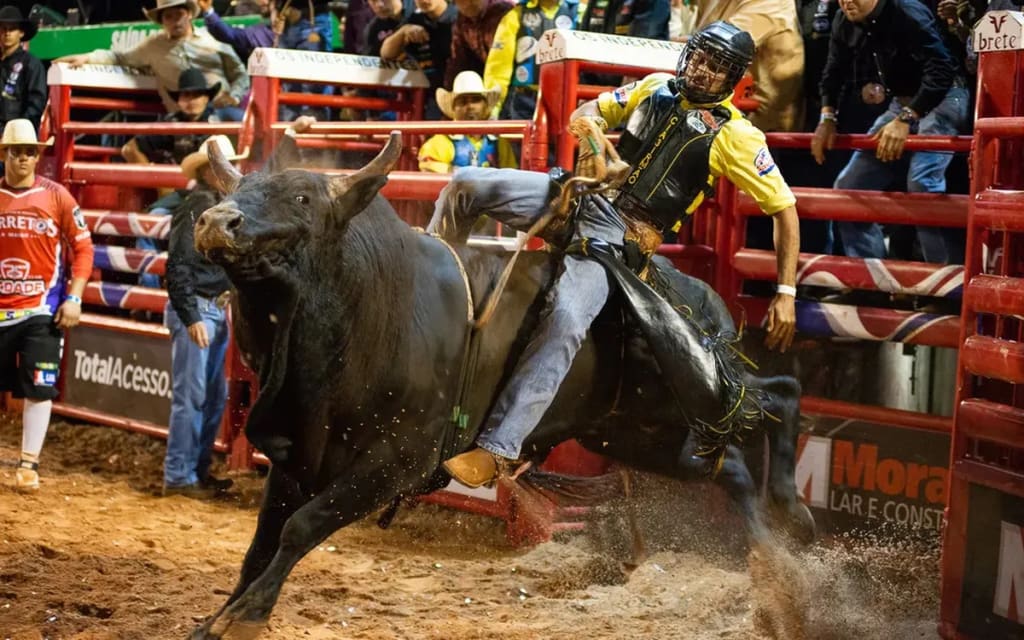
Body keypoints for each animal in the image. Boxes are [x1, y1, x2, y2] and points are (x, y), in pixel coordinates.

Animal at [190, 132, 815, 634]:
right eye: (241, 185)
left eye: (302, 197)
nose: (217, 221)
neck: (369, 304)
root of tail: (697, 293)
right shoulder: (296, 454)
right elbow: (261, 545)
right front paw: (217, 618)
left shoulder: (396, 462)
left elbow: (301, 528)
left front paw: (245, 617)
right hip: (638, 432)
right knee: (730, 468)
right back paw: (777, 565)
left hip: (696, 390)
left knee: (780, 395)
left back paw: (794, 514)